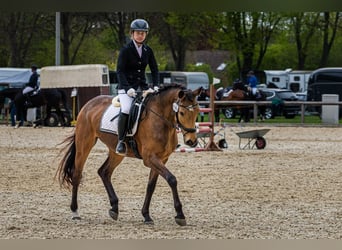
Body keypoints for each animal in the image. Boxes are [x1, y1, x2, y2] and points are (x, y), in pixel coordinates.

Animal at [54, 83, 202, 226]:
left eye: (197, 111)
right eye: (181, 112)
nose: (191, 141)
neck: (160, 119)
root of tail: (88, 104)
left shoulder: (162, 158)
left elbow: (151, 186)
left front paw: (146, 215)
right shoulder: (150, 158)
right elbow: (172, 179)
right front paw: (180, 215)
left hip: (116, 153)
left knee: (104, 172)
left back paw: (114, 208)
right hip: (84, 144)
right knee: (77, 174)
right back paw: (75, 211)